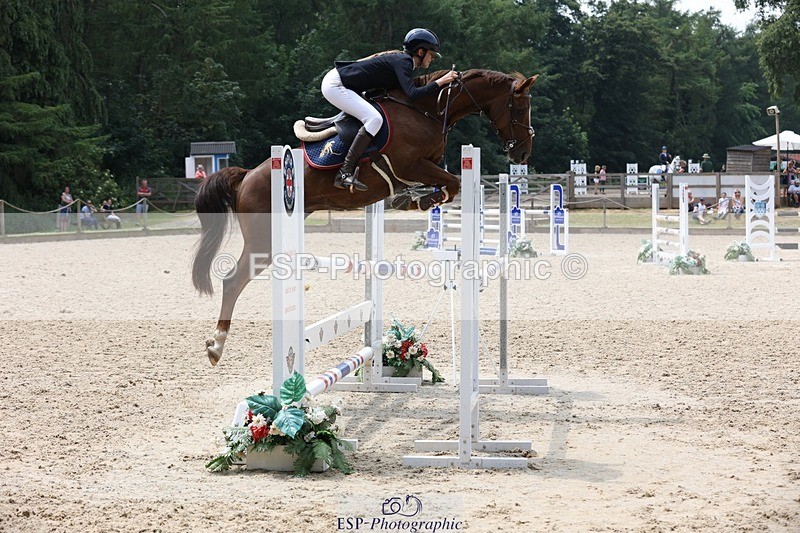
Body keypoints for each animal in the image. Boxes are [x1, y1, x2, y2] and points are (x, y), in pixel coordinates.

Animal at [192, 68, 539, 366]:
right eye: (521, 109)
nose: (522, 154)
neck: (429, 110)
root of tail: (247, 175)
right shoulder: (411, 165)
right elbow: (452, 184)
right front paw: (420, 199)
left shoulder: (422, 167)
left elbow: (444, 185)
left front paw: (412, 198)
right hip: (264, 240)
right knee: (233, 281)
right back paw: (216, 345)